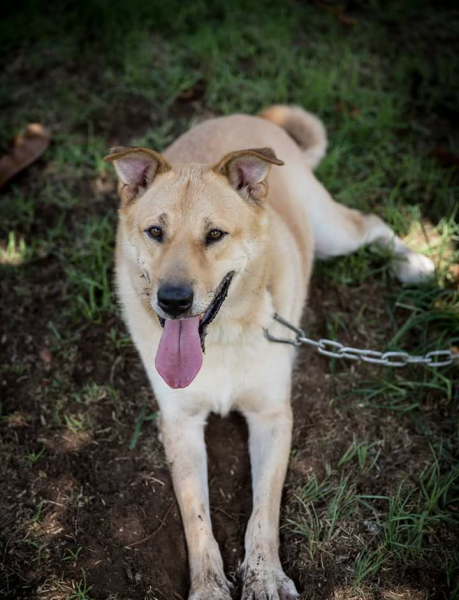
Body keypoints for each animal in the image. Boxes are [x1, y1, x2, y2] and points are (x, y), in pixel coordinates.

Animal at [105, 105, 434, 596]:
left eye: (215, 235)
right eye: (155, 231)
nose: (174, 300)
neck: (219, 339)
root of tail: (251, 115)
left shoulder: (272, 416)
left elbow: (264, 511)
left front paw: (265, 578)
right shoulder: (179, 422)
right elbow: (195, 517)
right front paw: (209, 586)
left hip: (333, 233)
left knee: (371, 222)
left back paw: (412, 264)